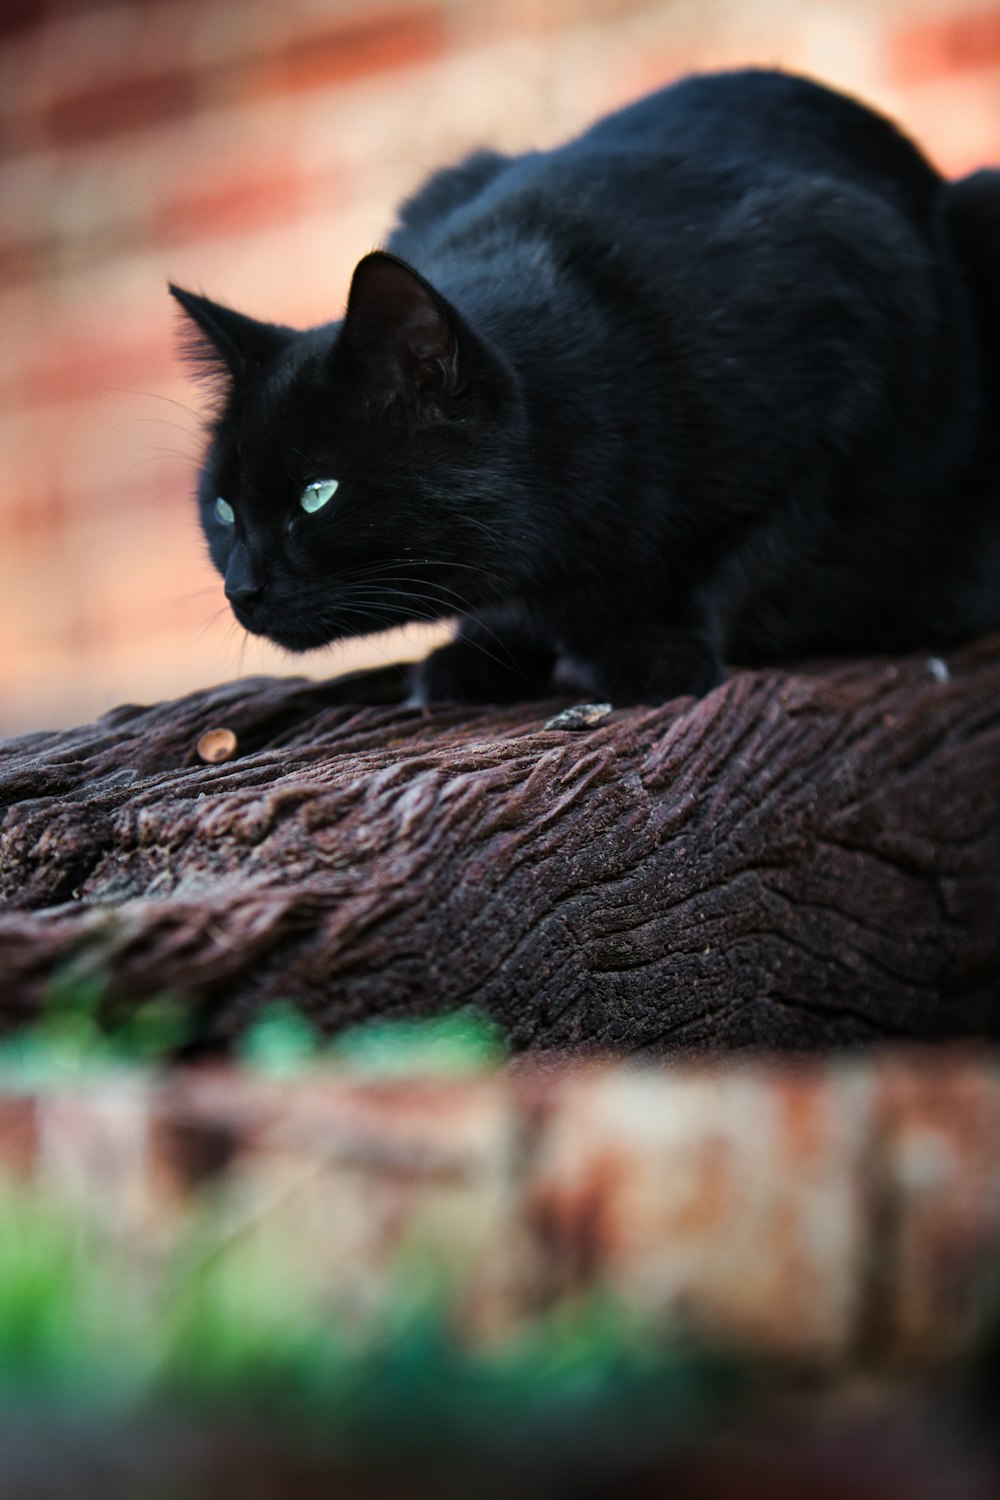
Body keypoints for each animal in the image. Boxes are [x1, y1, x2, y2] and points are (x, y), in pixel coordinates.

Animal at [172, 69, 1000, 702]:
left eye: (318, 495)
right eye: (222, 508)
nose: (240, 589)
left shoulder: (859, 348)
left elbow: (750, 553)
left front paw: (655, 648)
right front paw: (491, 650)